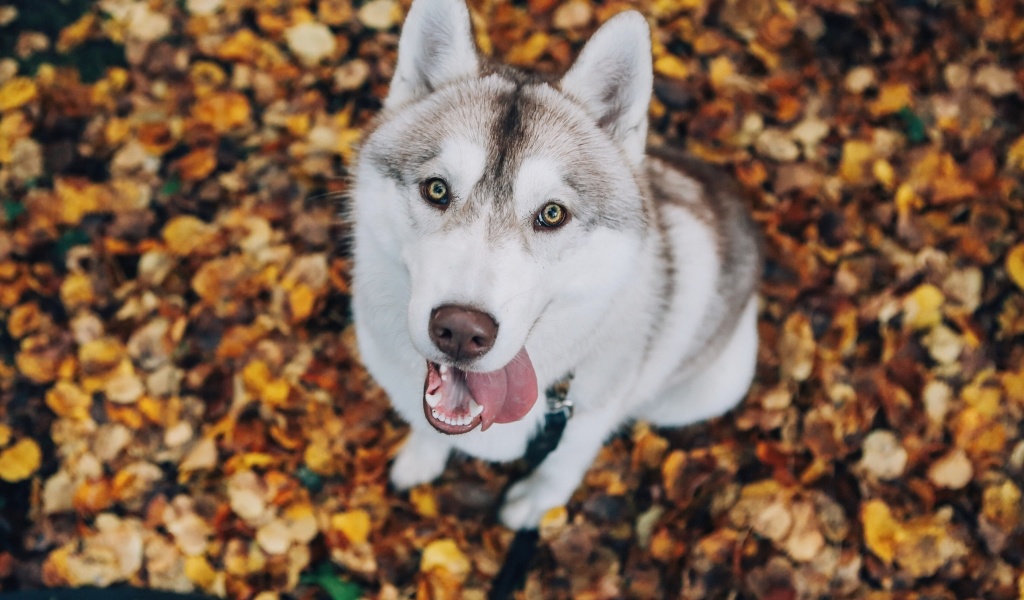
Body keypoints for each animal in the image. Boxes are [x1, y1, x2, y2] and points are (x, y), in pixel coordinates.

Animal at [352, 0, 761, 528]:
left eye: (552, 214)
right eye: (436, 189)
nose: (461, 331)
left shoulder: (587, 420)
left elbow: (562, 465)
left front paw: (535, 503)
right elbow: (427, 428)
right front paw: (421, 459)